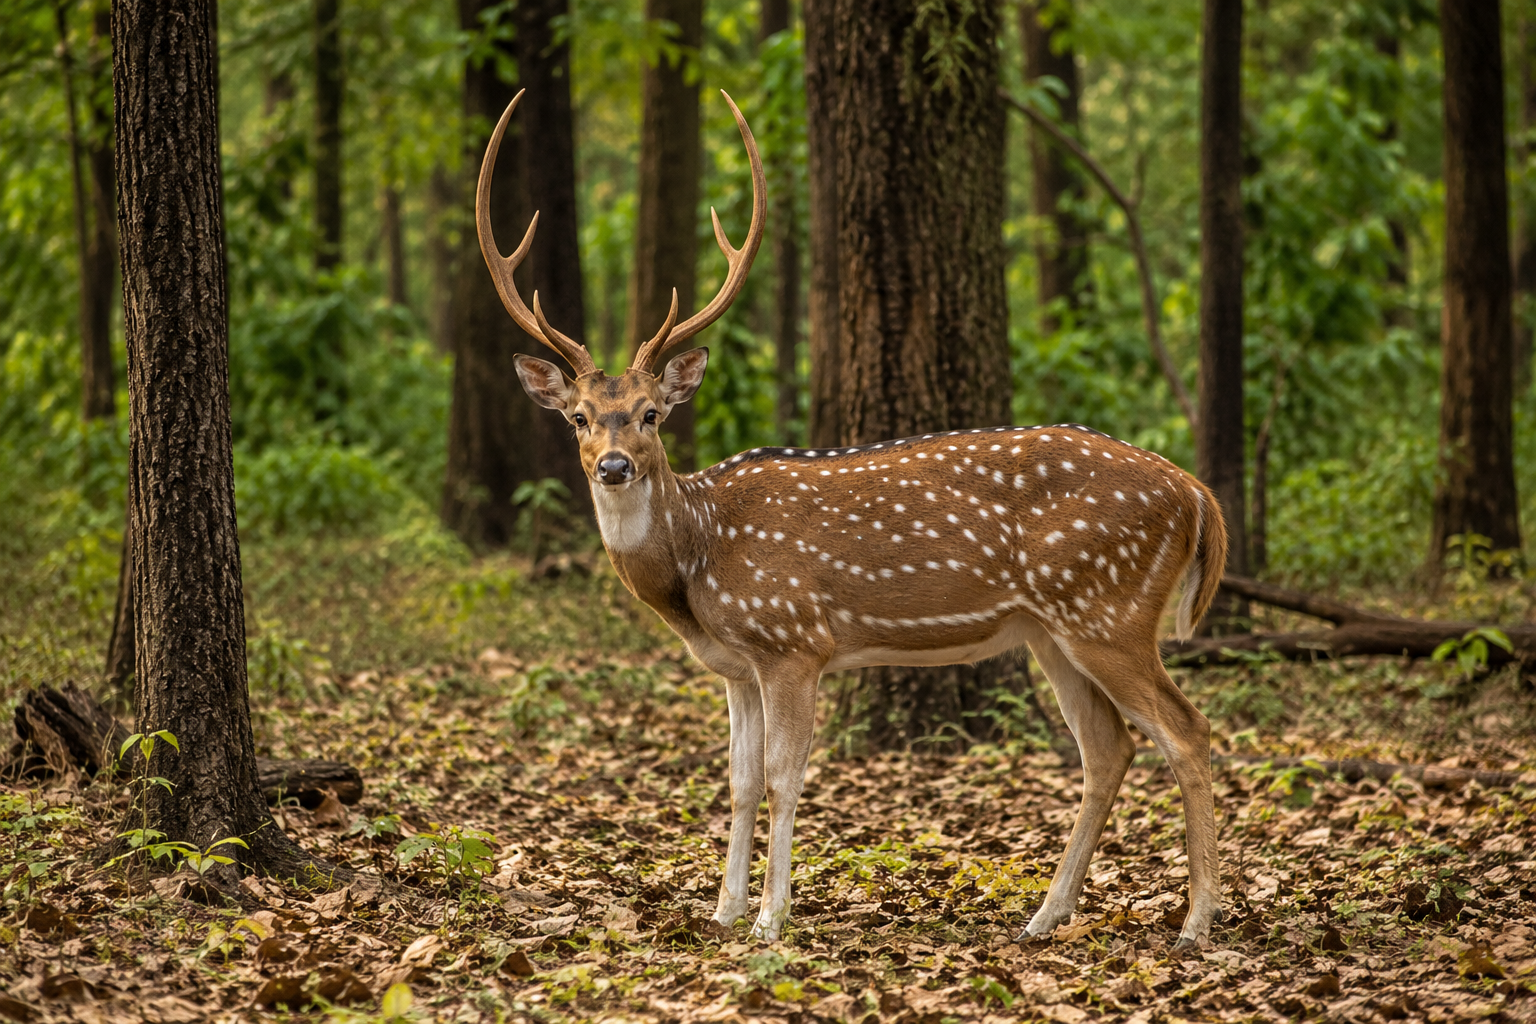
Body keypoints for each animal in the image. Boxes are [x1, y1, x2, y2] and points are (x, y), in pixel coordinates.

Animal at [481, 91, 1229, 949]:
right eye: (577, 417)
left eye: (649, 415)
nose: (613, 466)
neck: (697, 559)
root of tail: (1194, 492)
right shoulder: (736, 665)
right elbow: (738, 781)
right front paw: (723, 909)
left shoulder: (792, 640)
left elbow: (784, 777)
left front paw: (771, 917)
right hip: (1054, 627)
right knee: (1108, 749)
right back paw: (1045, 915)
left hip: (1111, 609)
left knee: (1187, 731)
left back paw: (1196, 921)